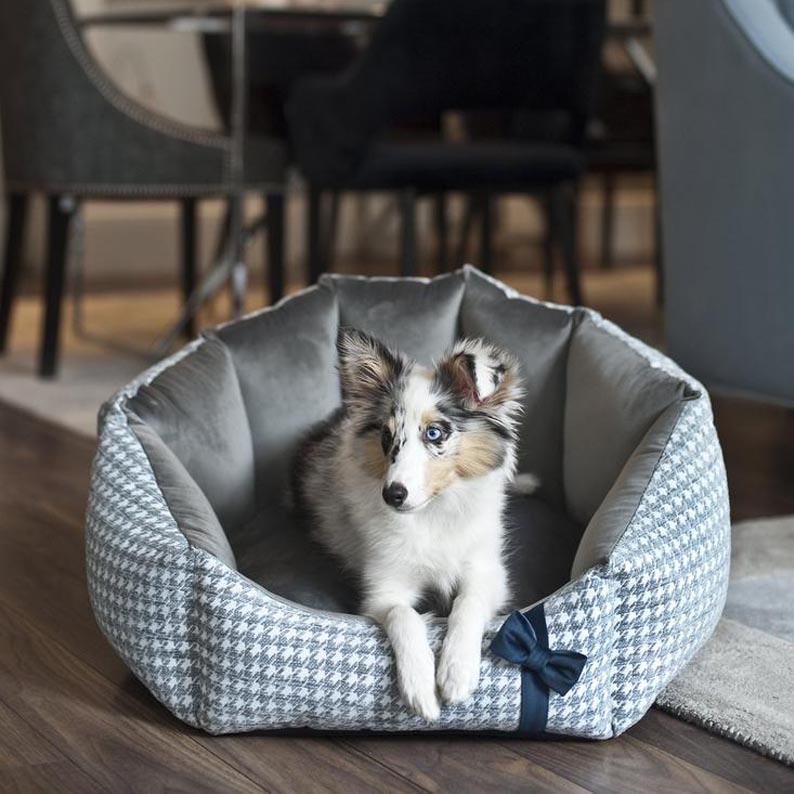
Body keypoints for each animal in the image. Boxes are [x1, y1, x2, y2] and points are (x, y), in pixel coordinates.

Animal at [293, 328, 525, 720]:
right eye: (386, 437)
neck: (432, 513)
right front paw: (421, 689)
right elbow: (405, 615)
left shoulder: (488, 572)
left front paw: (456, 672)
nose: (393, 495)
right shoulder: (382, 590)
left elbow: (468, 601)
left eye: (434, 434)